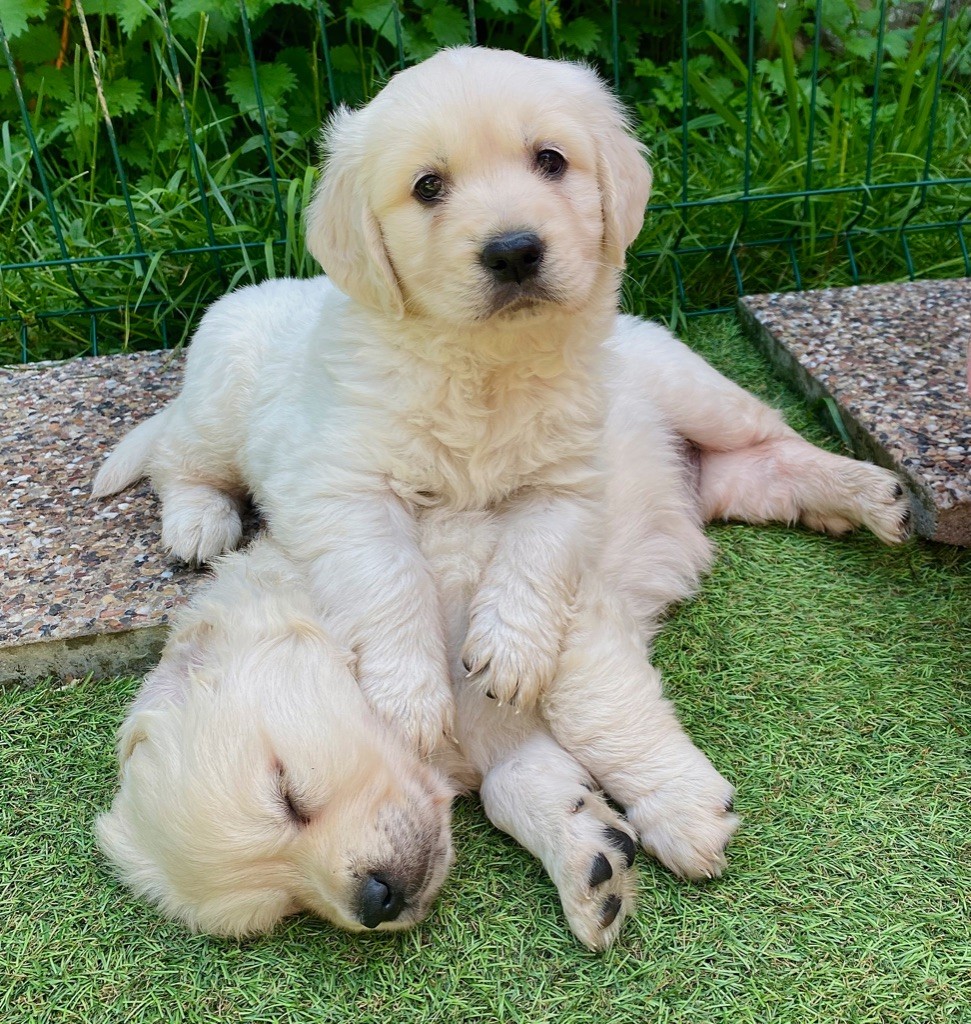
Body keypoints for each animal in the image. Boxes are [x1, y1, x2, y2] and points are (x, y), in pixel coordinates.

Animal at [94, 319, 905, 950]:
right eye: (287, 907)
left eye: (287, 793)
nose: (376, 903)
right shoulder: (499, 742)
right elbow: (518, 788)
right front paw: (591, 865)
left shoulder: (553, 616)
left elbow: (596, 716)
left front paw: (683, 814)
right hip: (721, 477)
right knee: (763, 473)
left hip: (691, 390)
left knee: (774, 430)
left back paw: (879, 495)